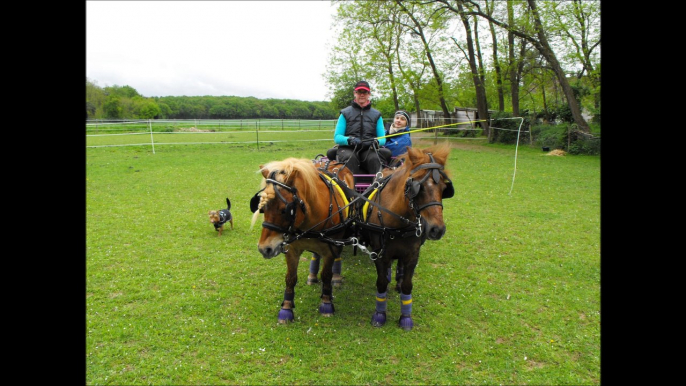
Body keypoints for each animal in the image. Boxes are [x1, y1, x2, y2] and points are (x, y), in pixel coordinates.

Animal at [254, 157, 360, 322]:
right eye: (263, 208)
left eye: (285, 210)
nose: (264, 249)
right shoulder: (292, 249)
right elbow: (290, 278)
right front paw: (286, 308)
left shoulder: (329, 250)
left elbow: (326, 275)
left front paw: (326, 303)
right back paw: (312, 275)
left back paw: (336, 277)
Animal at [354, 143, 456, 330]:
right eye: (418, 187)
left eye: (445, 189)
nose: (437, 229)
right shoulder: (379, 253)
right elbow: (381, 282)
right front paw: (379, 314)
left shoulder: (412, 255)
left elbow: (408, 285)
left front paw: (406, 317)